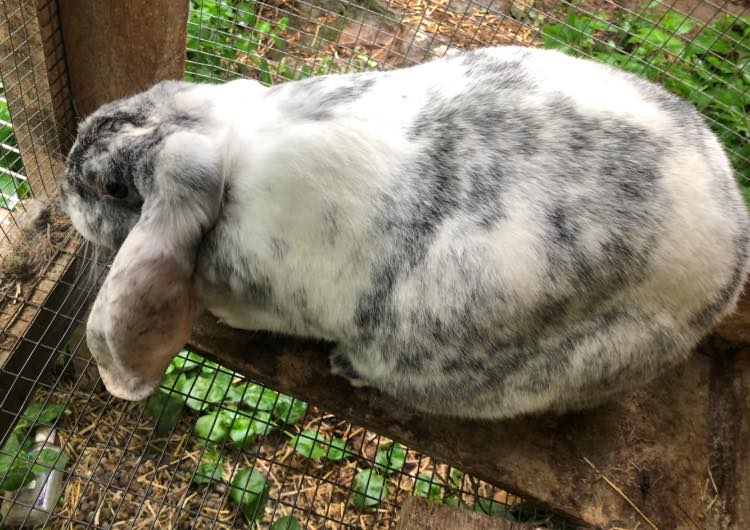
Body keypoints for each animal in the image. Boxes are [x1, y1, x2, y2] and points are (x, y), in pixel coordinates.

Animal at [60, 46, 749, 419]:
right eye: (132, 105)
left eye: (112, 187)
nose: (65, 180)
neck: (233, 160)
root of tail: (729, 268)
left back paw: (349, 366)